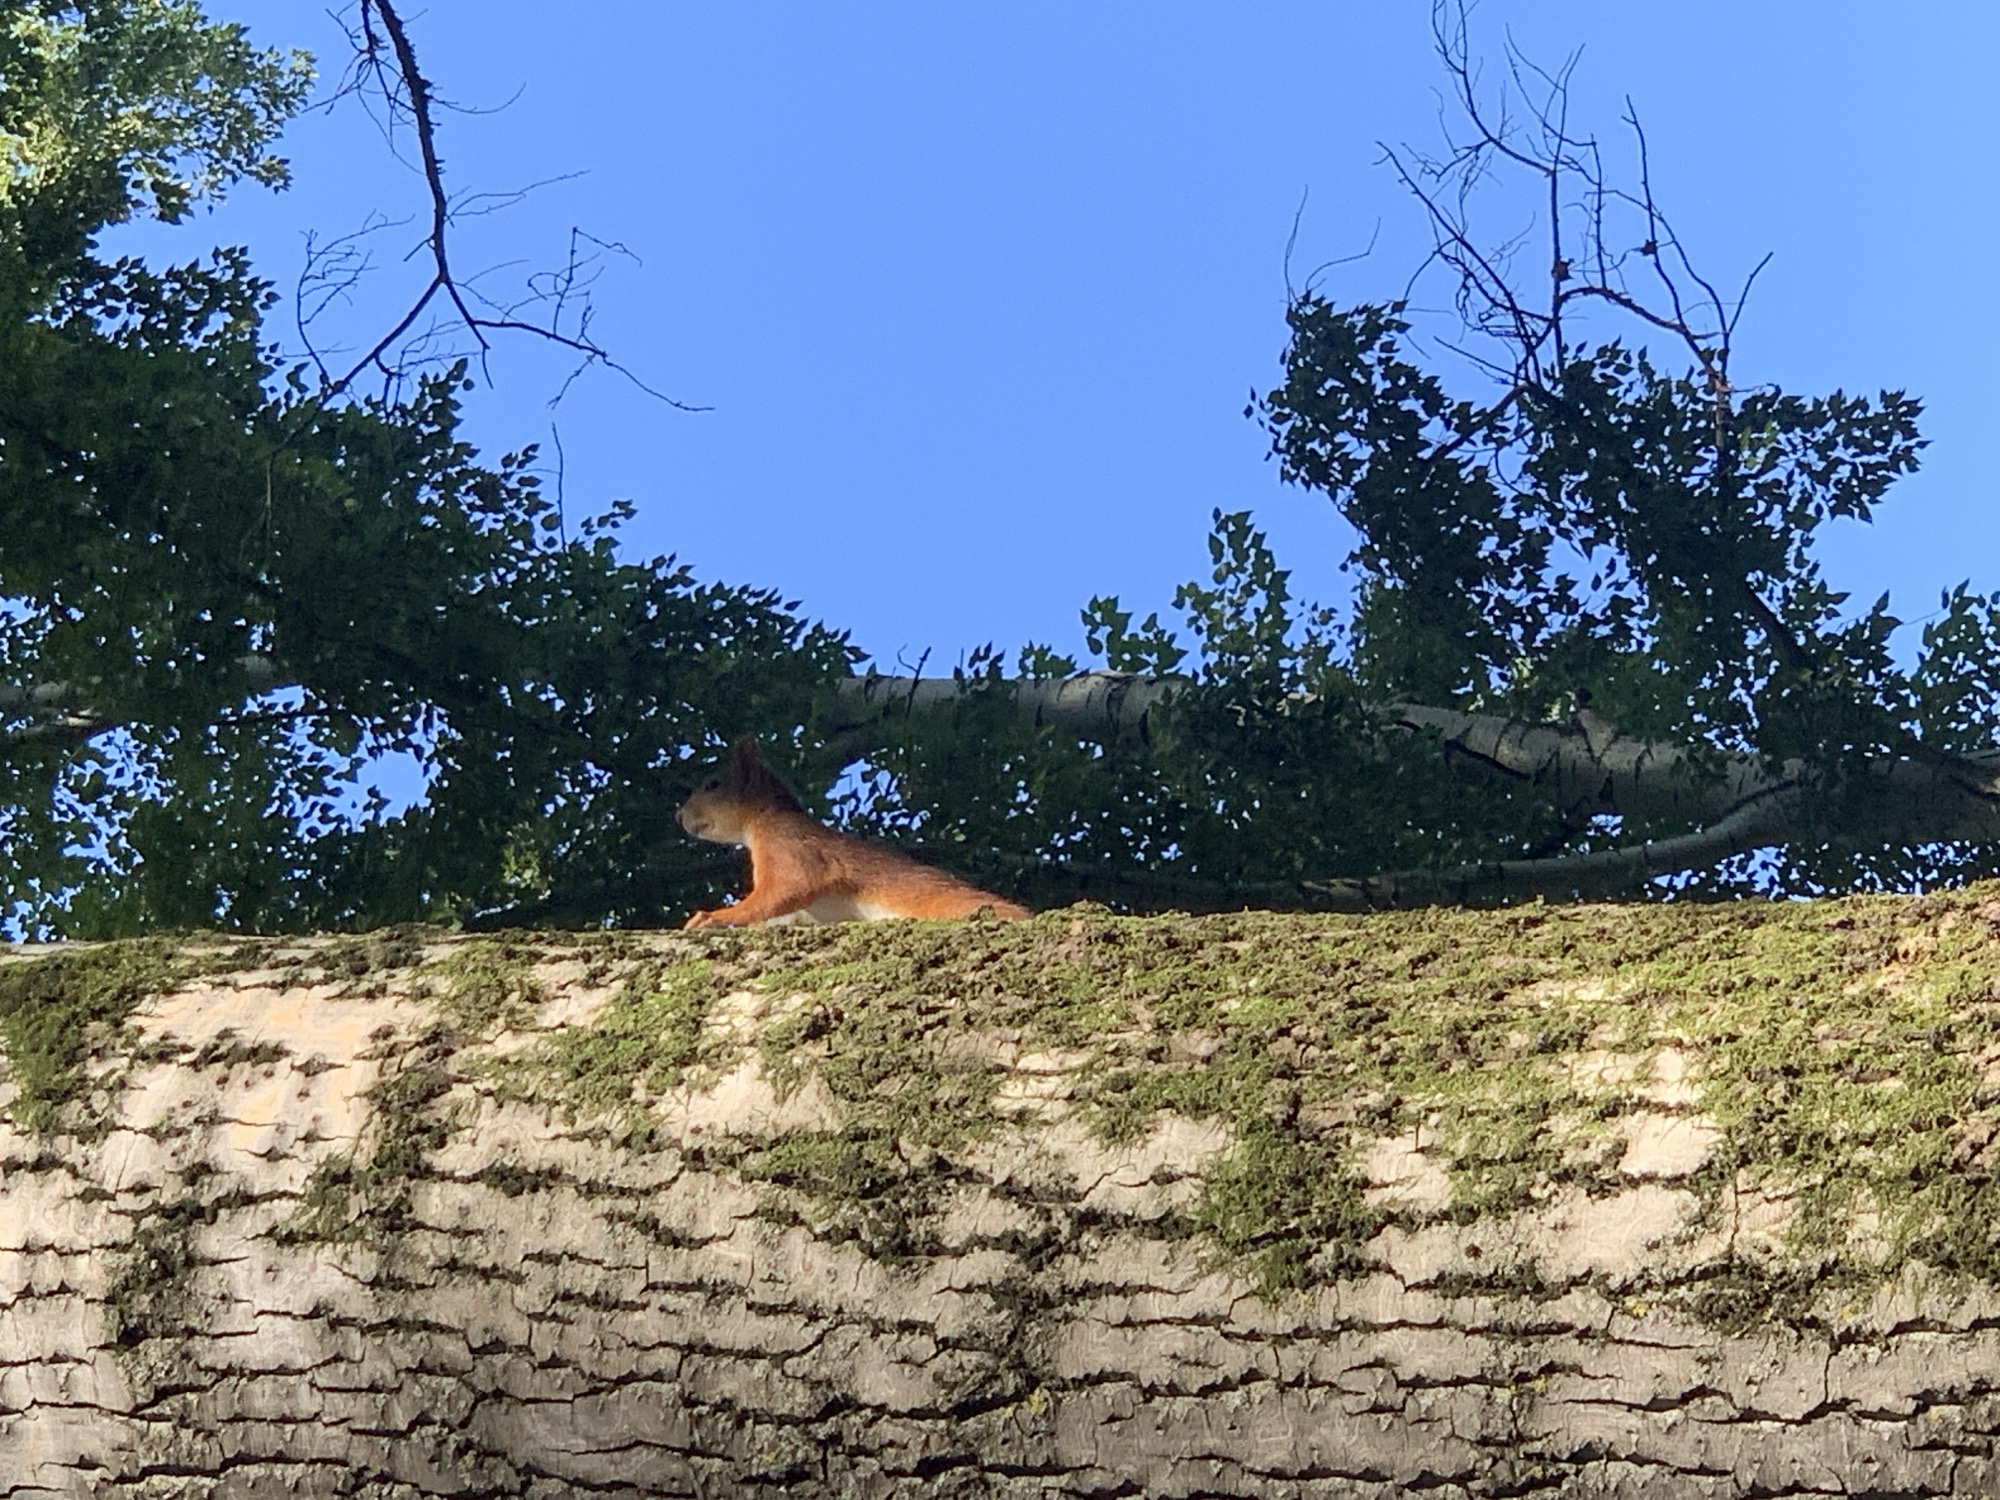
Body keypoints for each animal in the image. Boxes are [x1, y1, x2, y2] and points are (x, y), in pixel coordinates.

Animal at [676, 736, 1032, 928]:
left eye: (712, 784)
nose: (679, 815)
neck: (765, 817)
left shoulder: (789, 844)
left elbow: (786, 888)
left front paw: (714, 917)